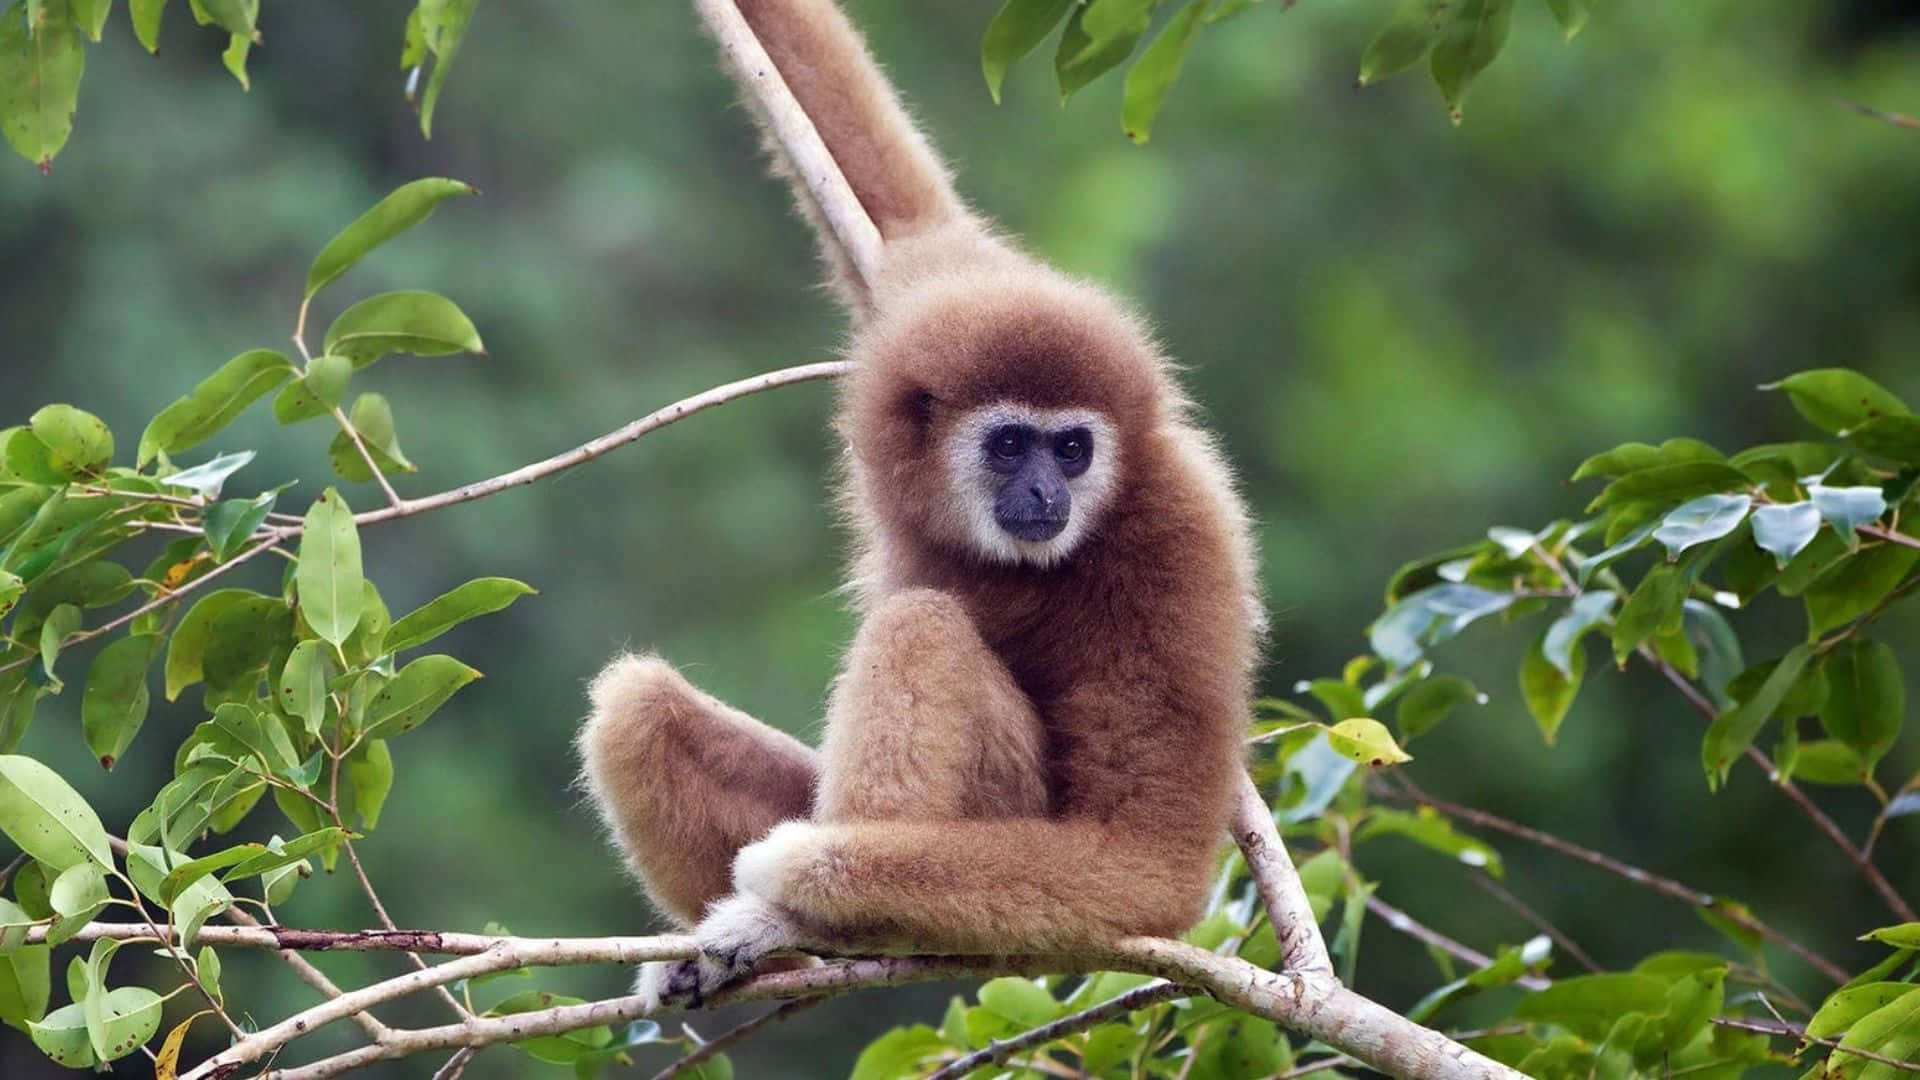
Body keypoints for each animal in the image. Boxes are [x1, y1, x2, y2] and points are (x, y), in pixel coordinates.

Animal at [576, 0, 1263, 1007]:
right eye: (1011, 443)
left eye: (1073, 447)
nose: (1045, 489)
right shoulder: (928, 283)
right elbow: (892, 196)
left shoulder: (1178, 541)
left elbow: (1143, 866)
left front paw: (803, 883)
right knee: (636, 704)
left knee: (921, 628)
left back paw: (796, 921)